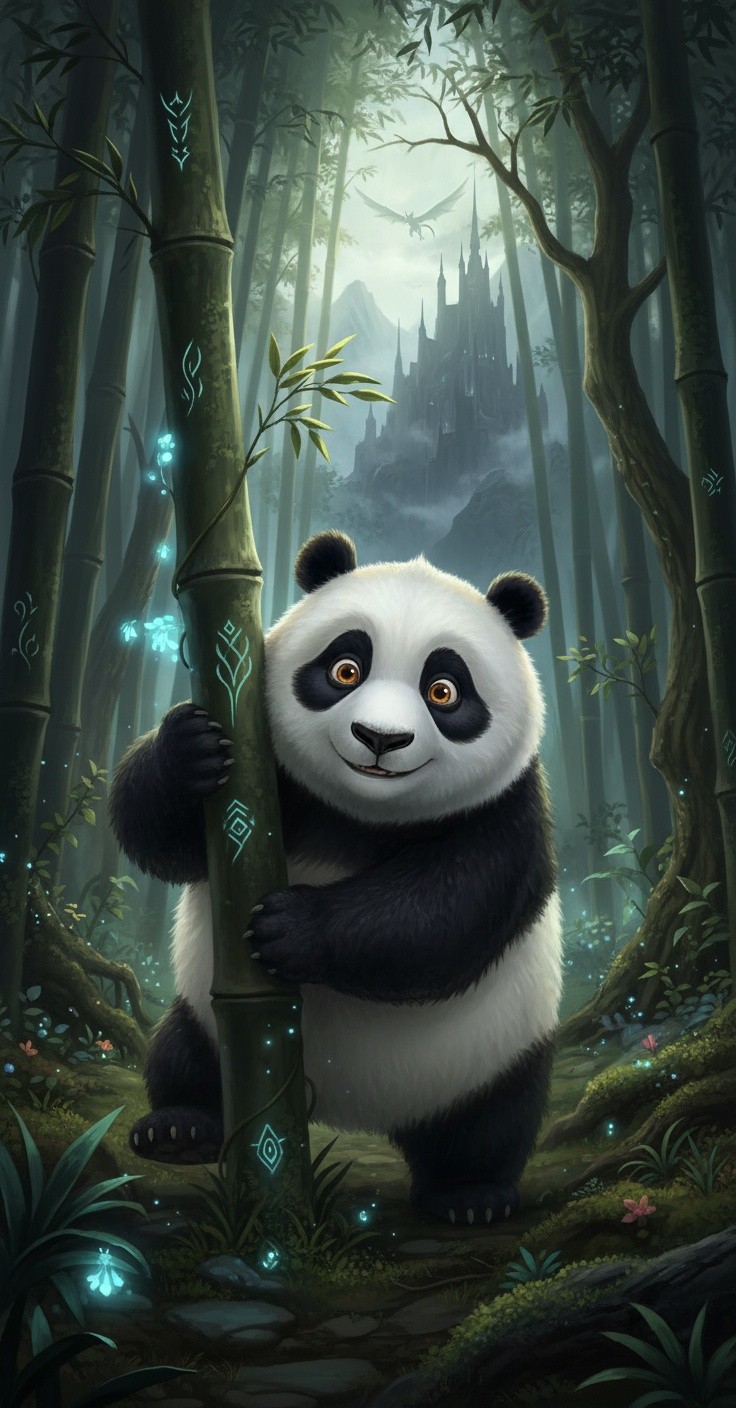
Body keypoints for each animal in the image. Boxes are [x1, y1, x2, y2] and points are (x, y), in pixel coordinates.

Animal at [110, 530, 562, 1225]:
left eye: (444, 691)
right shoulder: (273, 774)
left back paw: (469, 1195)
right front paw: (188, 749)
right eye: (346, 670)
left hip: (493, 1053)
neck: (361, 813)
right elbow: (159, 837)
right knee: (182, 1053)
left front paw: (289, 928)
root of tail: (350, 1114)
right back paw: (180, 1128)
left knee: (491, 1122)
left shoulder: (505, 810)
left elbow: (449, 912)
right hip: (204, 1014)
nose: (379, 738)